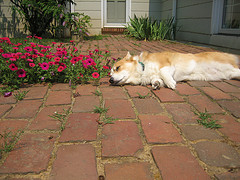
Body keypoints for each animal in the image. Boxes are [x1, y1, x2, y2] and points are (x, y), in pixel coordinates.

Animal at [109, 51, 240, 89]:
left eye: (117, 68)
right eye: (110, 74)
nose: (110, 80)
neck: (143, 67)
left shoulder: (167, 65)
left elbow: (163, 73)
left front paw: (171, 83)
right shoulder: (154, 76)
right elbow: (157, 80)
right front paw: (156, 84)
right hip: (231, 73)